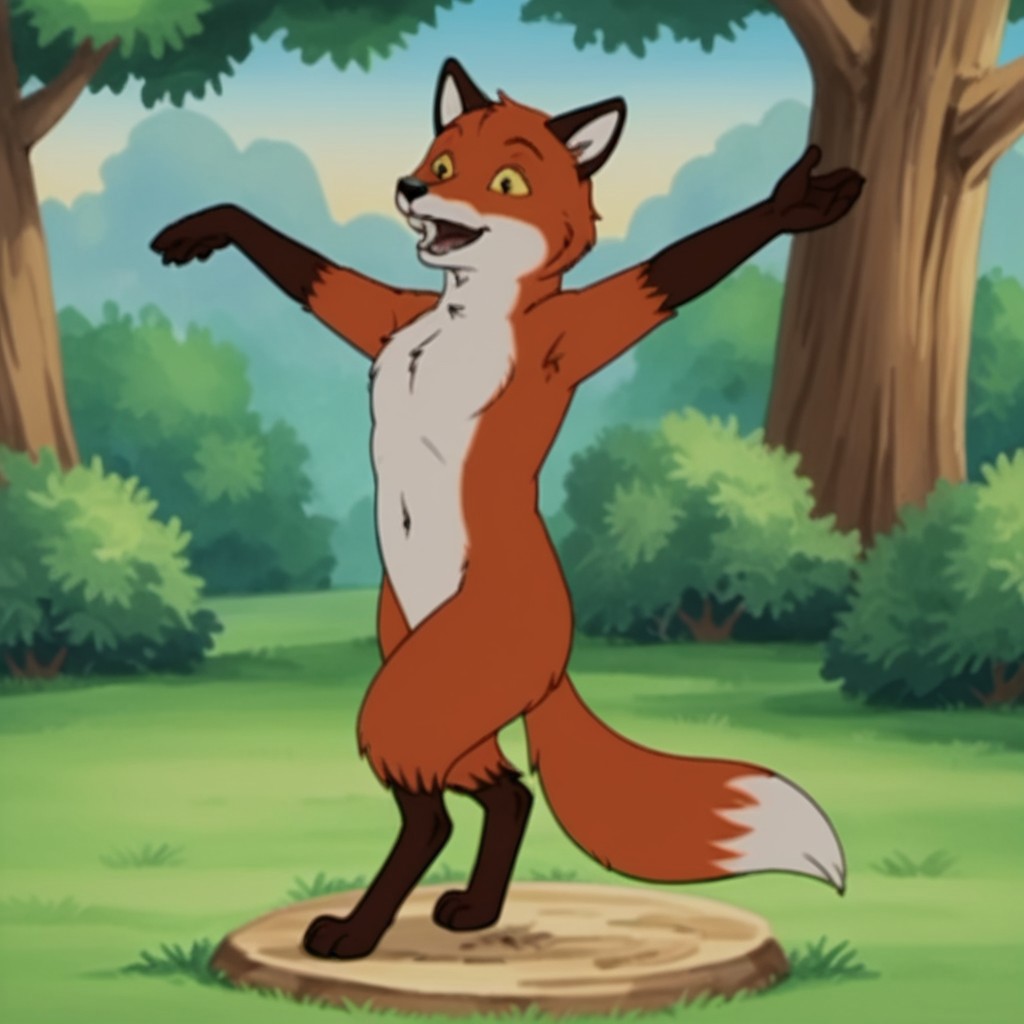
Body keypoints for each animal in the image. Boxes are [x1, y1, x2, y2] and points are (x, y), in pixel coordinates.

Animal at [152, 58, 865, 960]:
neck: (460, 316)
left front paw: (791, 205)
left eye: (507, 183)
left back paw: (361, 933)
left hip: (433, 683)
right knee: (505, 791)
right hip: (417, 665)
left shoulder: (572, 334)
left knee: (443, 810)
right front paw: (212, 223)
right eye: (441, 161)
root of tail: (556, 661)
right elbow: (328, 282)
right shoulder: (388, 314)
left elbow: (673, 270)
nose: (413, 187)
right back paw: (471, 910)